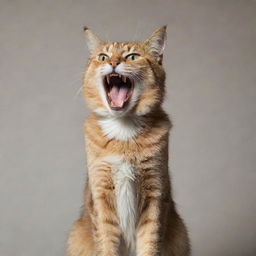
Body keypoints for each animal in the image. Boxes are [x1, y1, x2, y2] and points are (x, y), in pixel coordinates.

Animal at [68, 26, 190, 256]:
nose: (113, 62)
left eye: (132, 56)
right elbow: (106, 242)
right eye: (103, 56)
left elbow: (150, 240)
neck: (123, 129)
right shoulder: (101, 194)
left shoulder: (155, 192)